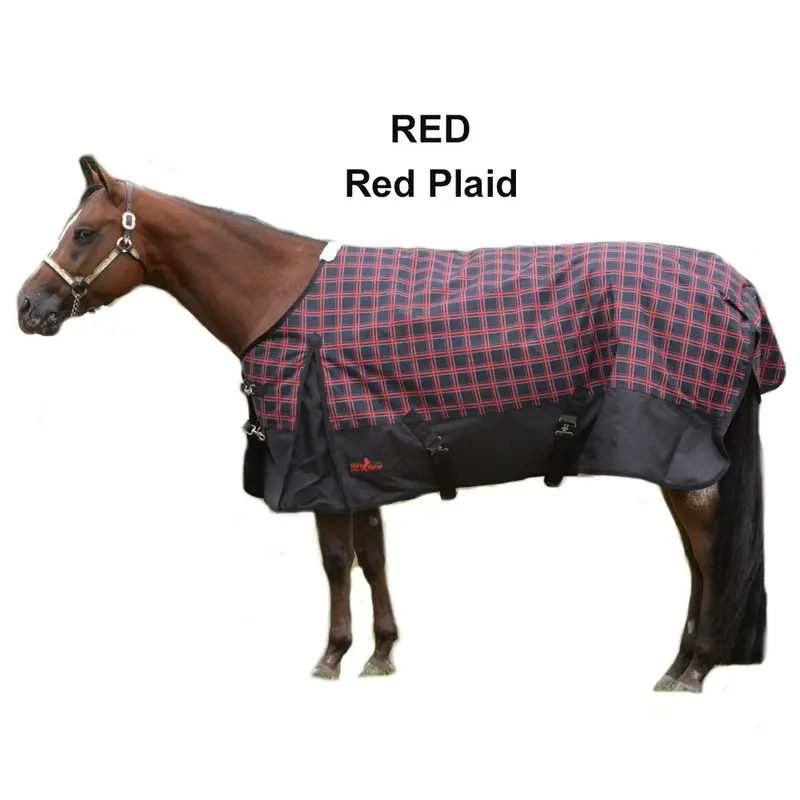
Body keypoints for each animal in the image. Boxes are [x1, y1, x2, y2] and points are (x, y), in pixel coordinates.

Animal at [16, 155, 786, 692]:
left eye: (83, 232)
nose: (27, 305)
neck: (276, 298)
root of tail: (737, 289)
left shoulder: (318, 471)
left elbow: (335, 561)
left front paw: (330, 658)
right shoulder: (362, 462)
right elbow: (372, 556)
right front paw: (381, 652)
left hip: (683, 464)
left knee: (708, 555)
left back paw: (692, 670)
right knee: (697, 558)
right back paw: (683, 662)